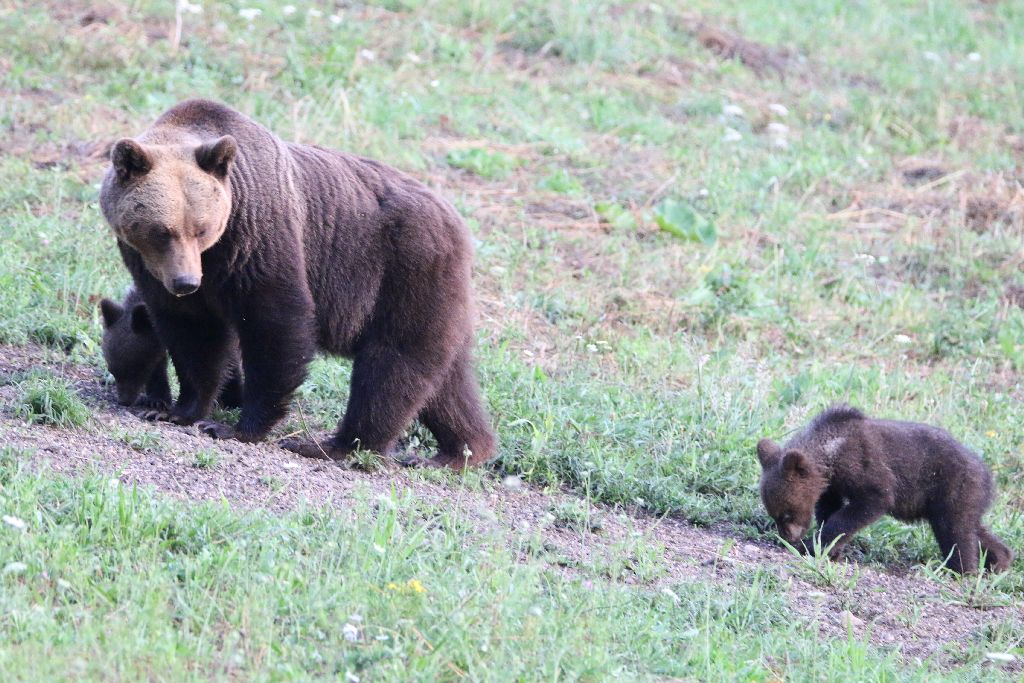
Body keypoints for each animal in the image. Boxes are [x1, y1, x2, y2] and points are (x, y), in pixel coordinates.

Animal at [98, 98, 495, 466]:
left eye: (201, 228)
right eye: (162, 231)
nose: (185, 282)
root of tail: (458, 222)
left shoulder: (258, 239)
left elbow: (274, 323)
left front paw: (235, 426)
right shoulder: (154, 267)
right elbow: (192, 332)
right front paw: (175, 409)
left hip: (404, 272)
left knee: (391, 363)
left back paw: (334, 445)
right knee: (447, 381)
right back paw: (460, 451)